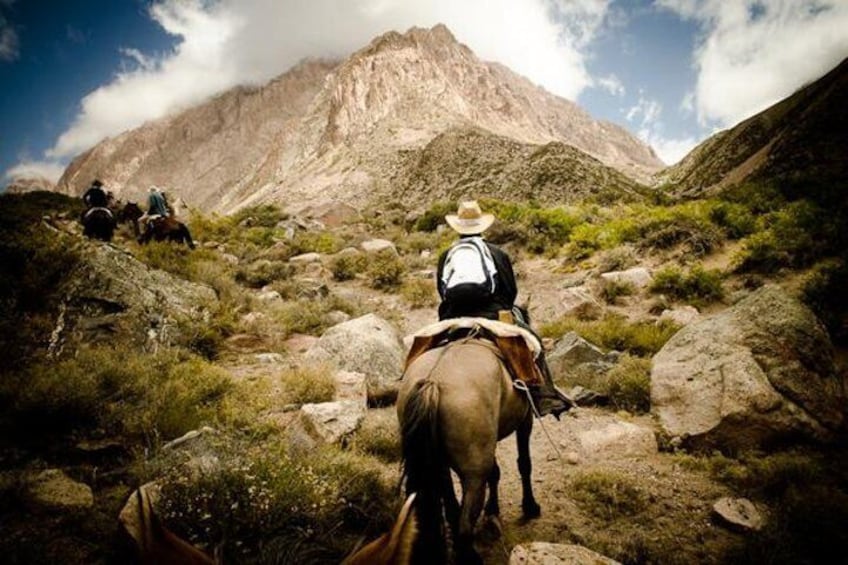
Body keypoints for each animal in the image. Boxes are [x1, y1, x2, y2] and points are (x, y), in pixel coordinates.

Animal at [396, 338, 536, 560]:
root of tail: (432, 381)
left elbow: (496, 472)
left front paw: (493, 510)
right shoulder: (526, 417)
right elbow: (524, 463)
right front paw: (530, 507)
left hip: (438, 462)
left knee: (451, 506)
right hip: (474, 473)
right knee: (464, 524)